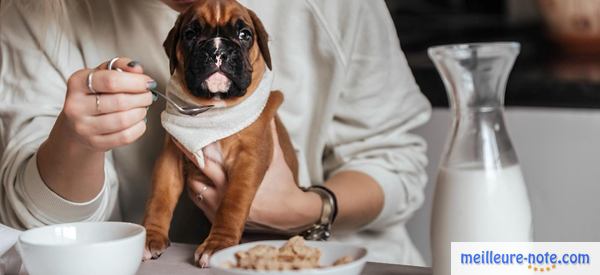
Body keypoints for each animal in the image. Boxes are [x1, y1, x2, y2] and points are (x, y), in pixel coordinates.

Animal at [141, 0, 300, 268]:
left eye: (244, 34)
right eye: (190, 34)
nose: (217, 50)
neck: (214, 109)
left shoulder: (249, 159)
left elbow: (232, 203)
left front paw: (218, 245)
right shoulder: (171, 157)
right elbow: (159, 198)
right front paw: (150, 236)